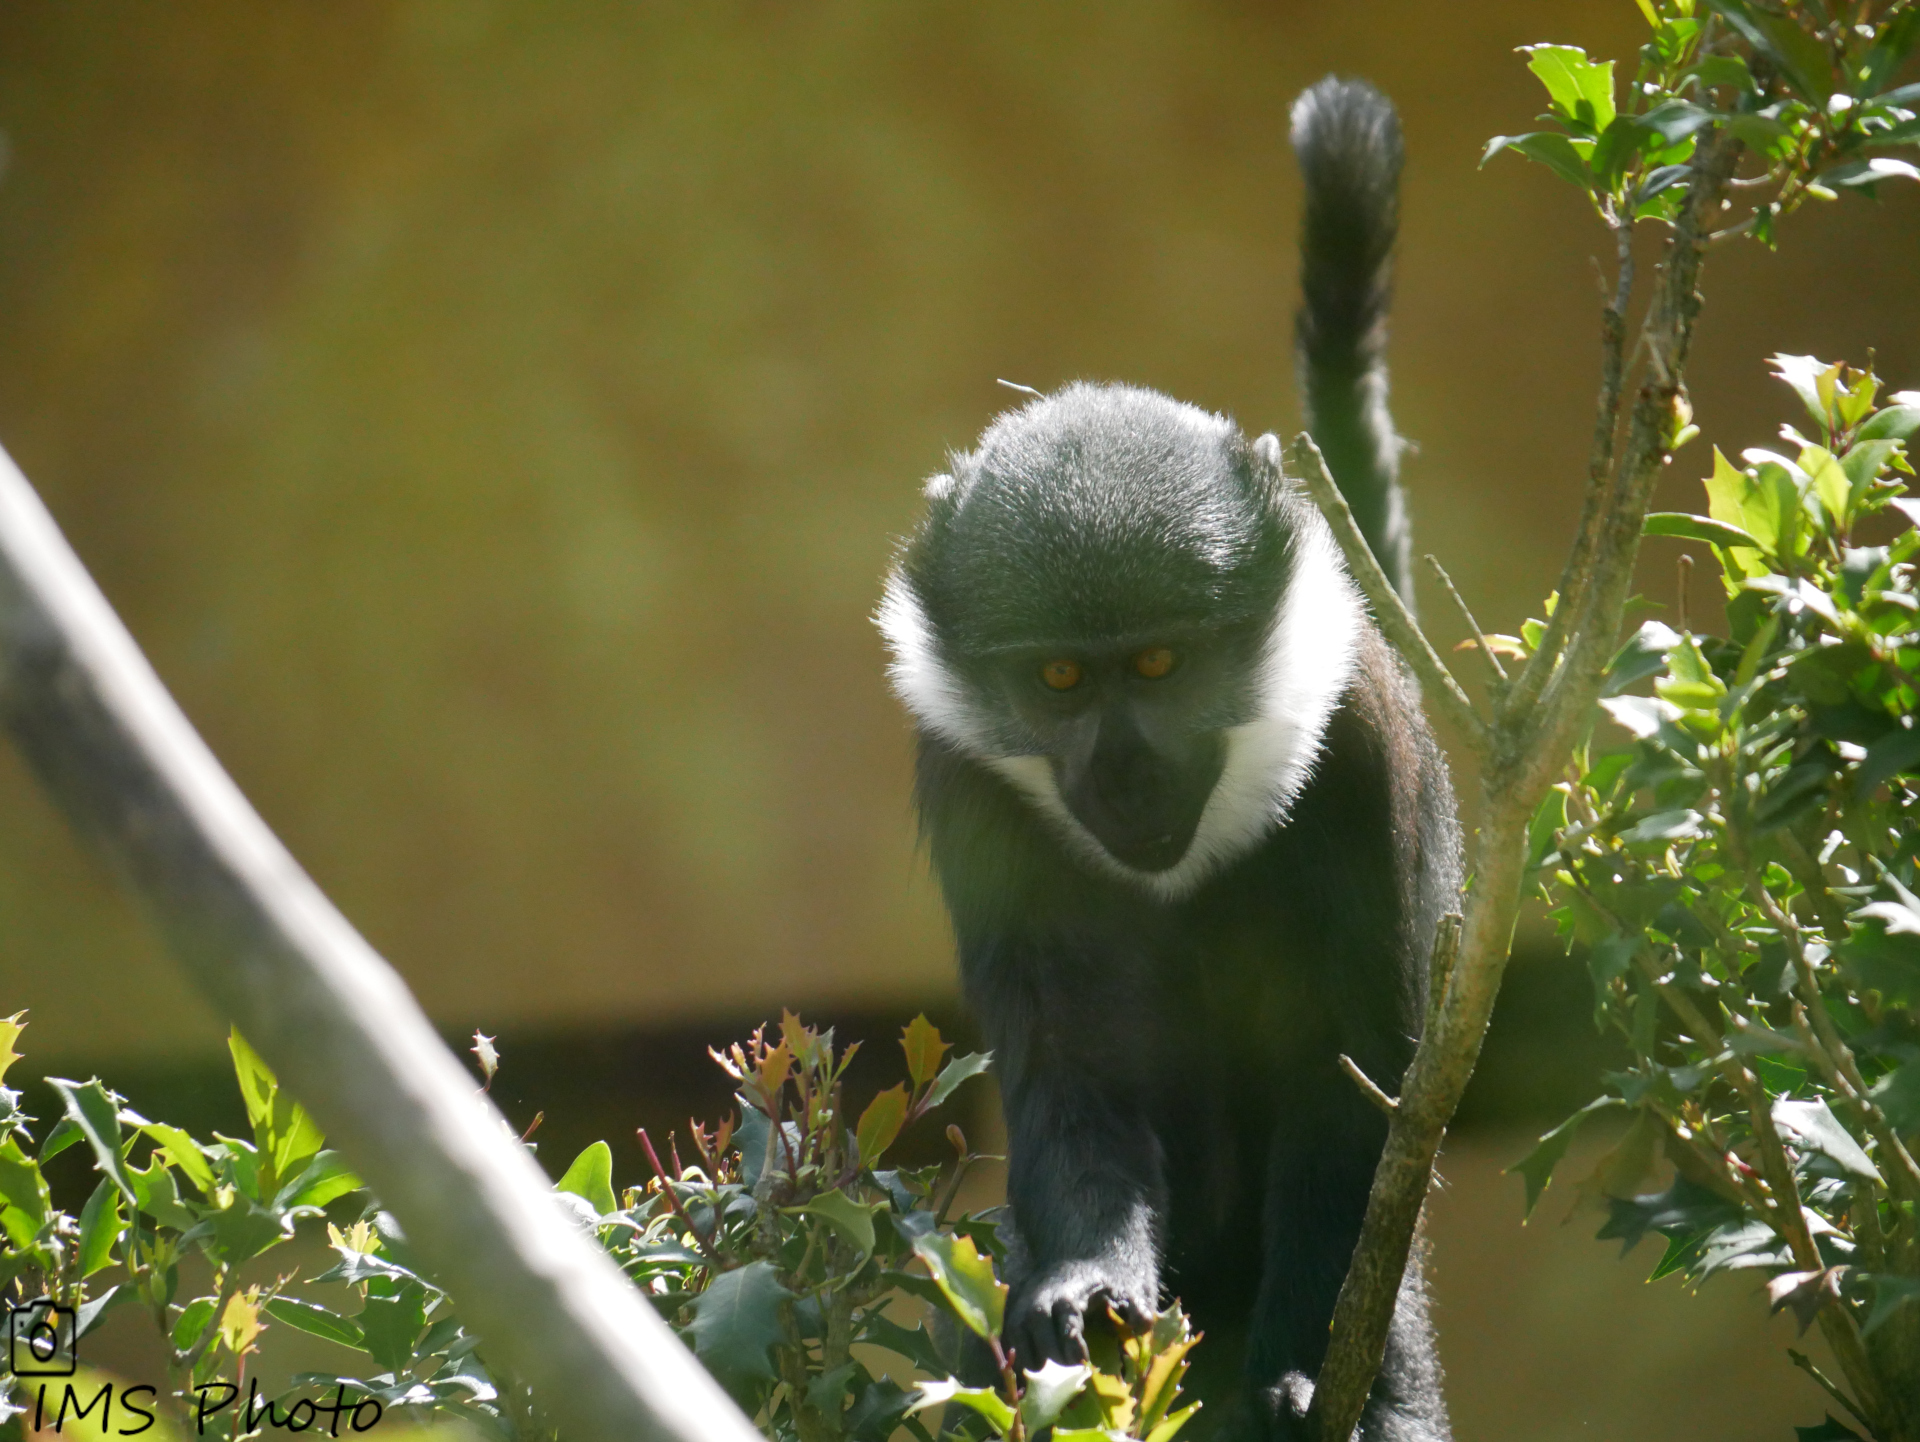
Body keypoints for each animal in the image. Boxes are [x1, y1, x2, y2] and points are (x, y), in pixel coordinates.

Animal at [879, 81, 1451, 1442]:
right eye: (1059, 679)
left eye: (1156, 664)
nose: (1126, 780)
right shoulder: (964, 775)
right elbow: (1073, 1064)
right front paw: (1083, 1284)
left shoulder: (1363, 748)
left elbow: (1355, 1080)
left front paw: (1305, 1374)